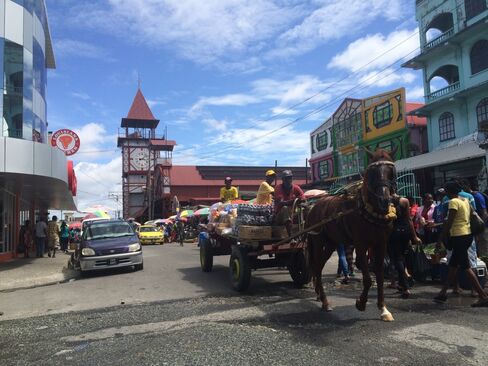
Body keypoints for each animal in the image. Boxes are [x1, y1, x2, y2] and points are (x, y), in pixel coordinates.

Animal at [306, 147, 398, 322]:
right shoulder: (360, 244)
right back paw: (325, 301)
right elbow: (368, 279)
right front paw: (361, 303)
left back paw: (322, 298)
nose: (384, 201)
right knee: (316, 268)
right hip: (318, 241)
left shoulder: (382, 243)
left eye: (391, 172)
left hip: (331, 243)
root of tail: (314, 206)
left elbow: (380, 274)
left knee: (318, 267)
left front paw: (383, 308)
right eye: (372, 172)